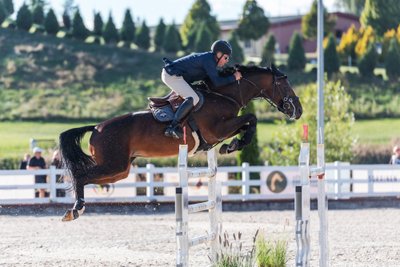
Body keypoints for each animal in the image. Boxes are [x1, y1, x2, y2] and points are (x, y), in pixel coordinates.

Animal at [58, 63, 304, 221]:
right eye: (284, 83)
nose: (299, 111)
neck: (223, 95)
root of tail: (96, 128)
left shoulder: (223, 129)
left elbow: (248, 124)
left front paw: (233, 145)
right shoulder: (217, 130)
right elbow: (251, 119)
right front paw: (233, 145)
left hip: (120, 170)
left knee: (91, 177)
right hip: (113, 165)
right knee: (81, 175)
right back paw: (75, 209)